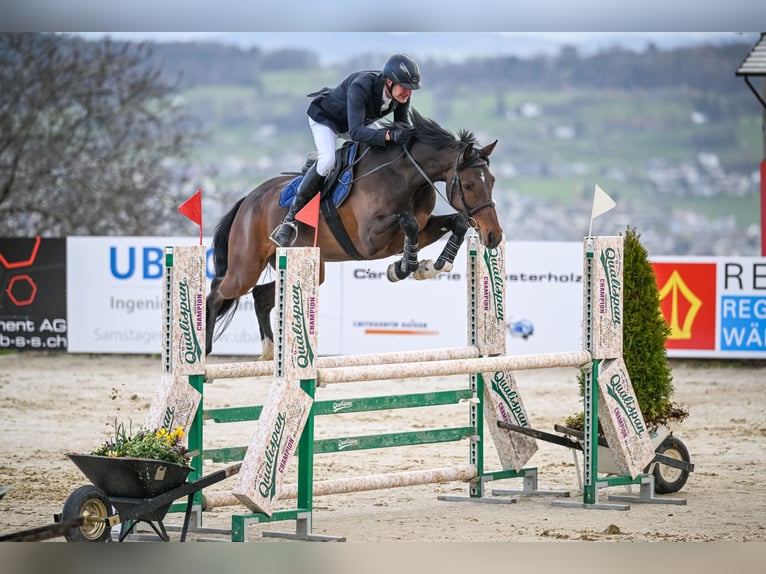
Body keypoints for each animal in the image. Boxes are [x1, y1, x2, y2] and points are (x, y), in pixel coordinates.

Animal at [206, 109, 504, 360]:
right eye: (468, 185)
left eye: (492, 181)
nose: (494, 236)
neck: (405, 176)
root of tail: (248, 200)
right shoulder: (371, 240)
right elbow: (407, 222)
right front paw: (403, 267)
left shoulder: (421, 228)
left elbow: (457, 222)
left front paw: (433, 266)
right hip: (246, 267)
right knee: (219, 292)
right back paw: (205, 353)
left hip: (308, 265)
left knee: (260, 296)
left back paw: (268, 352)